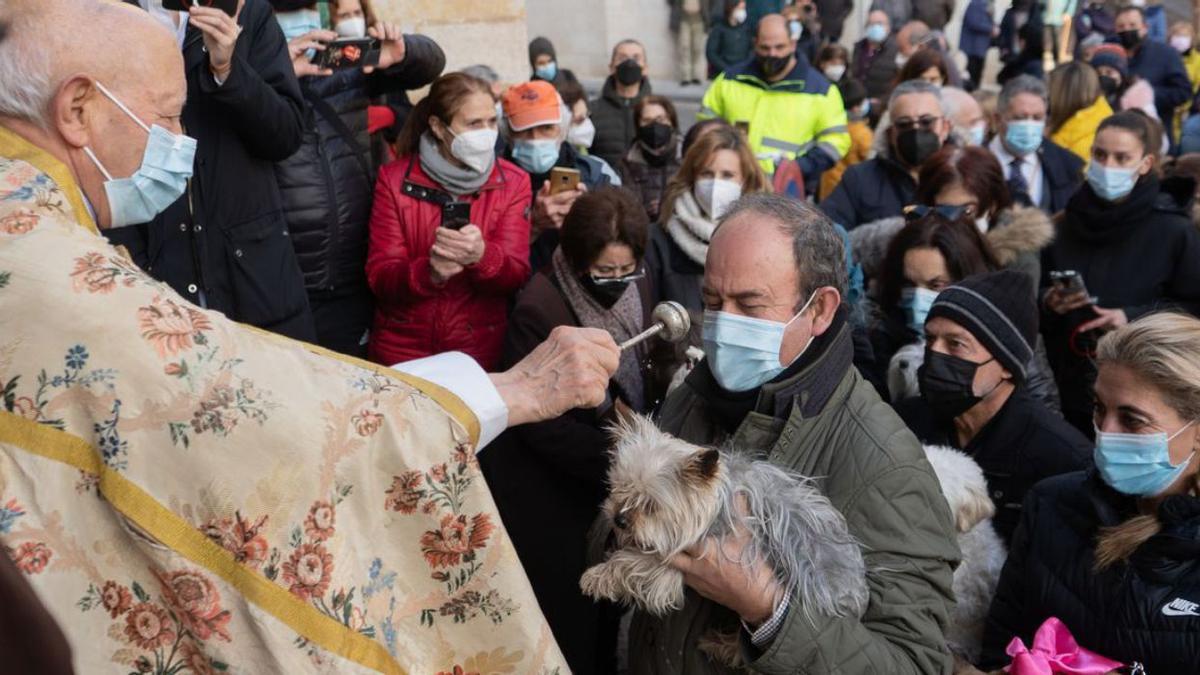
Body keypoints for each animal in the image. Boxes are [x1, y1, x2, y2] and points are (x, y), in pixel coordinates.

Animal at [578, 415, 868, 662]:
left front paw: (596, 577)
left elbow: (632, 562)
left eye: (650, 506)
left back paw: (722, 646)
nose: (619, 520)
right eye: (619, 489)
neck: (716, 501)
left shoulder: (677, 559)